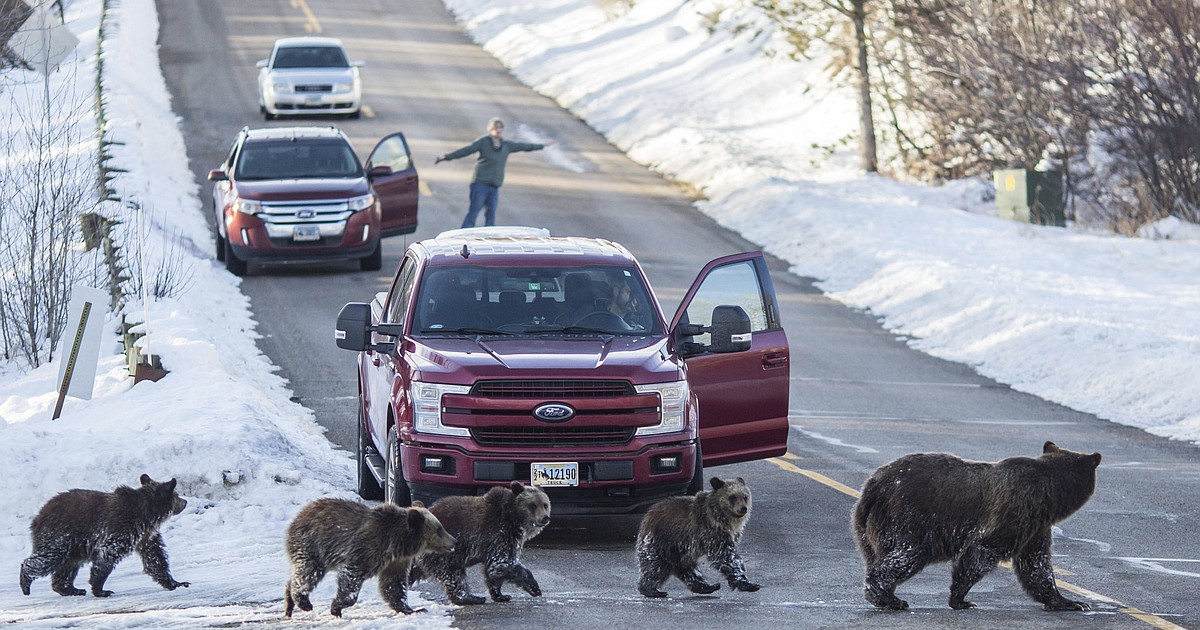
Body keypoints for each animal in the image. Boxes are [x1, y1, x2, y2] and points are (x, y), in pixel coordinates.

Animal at [18, 475, 188, 597]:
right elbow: (107, 554)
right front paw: (101, 589)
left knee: (68, 565)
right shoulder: (122, 528)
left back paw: (71, 589)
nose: (185, 501)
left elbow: (156, 559)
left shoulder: (145, 537)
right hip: (60, 535)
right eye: (177, 495)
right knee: (48, 558)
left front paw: (177, 583)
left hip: (74, 546)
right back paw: (25, 581)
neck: (146, 514)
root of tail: (38, 516)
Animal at [283, 499, 456, 614]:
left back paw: (290, 602)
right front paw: (337, 607)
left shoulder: (396, 562)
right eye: (439, 529)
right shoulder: (367, 548)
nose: (454, 540)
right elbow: (352, 576)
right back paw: (303, 601)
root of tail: (299, 515)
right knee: (309, 573)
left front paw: (410, 608)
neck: (398, 542)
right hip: (312, 544)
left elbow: (393, 584)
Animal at [408, 482, 549, 604]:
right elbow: (503, 563)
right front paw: (535, 588)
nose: (545, 517)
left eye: (545, 504)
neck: (513, 518)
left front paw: (500, 595)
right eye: (533, 505)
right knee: (453, 574)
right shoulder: (499, 534)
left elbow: (494, 571)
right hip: (444, 548)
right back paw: (471, 597)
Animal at [854, 441, 1099, 609]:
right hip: (907, 516)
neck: (1050, 497)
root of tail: (873, 485)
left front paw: (1070, 602)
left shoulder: (1036, 528)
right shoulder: (1017, 511)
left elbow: (1036, 565)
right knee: (905, 554)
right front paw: (961, 599)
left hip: (866, 528)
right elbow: (983, 551)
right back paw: (889, 598)